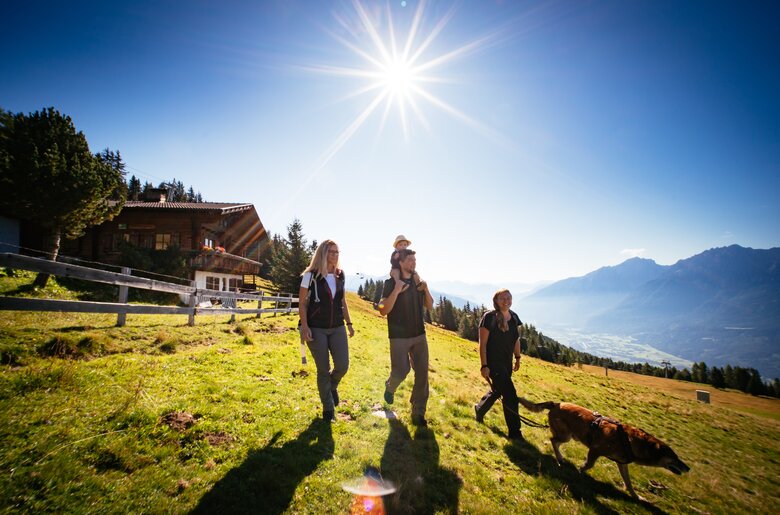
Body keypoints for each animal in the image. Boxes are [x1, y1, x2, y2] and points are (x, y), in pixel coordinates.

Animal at [516, 398, 688, 498]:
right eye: (674, 457)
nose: (688, 468)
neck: (631, 441)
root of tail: (555, 404)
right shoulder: (595, 450)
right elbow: (589, 464)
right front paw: (580, 470)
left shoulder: (622, 463)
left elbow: (628, 482)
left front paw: (635, 496)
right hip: (565, 435)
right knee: (553, 440)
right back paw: (559, 459)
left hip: (568, 435)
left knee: (555, 442)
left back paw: (560, 458)